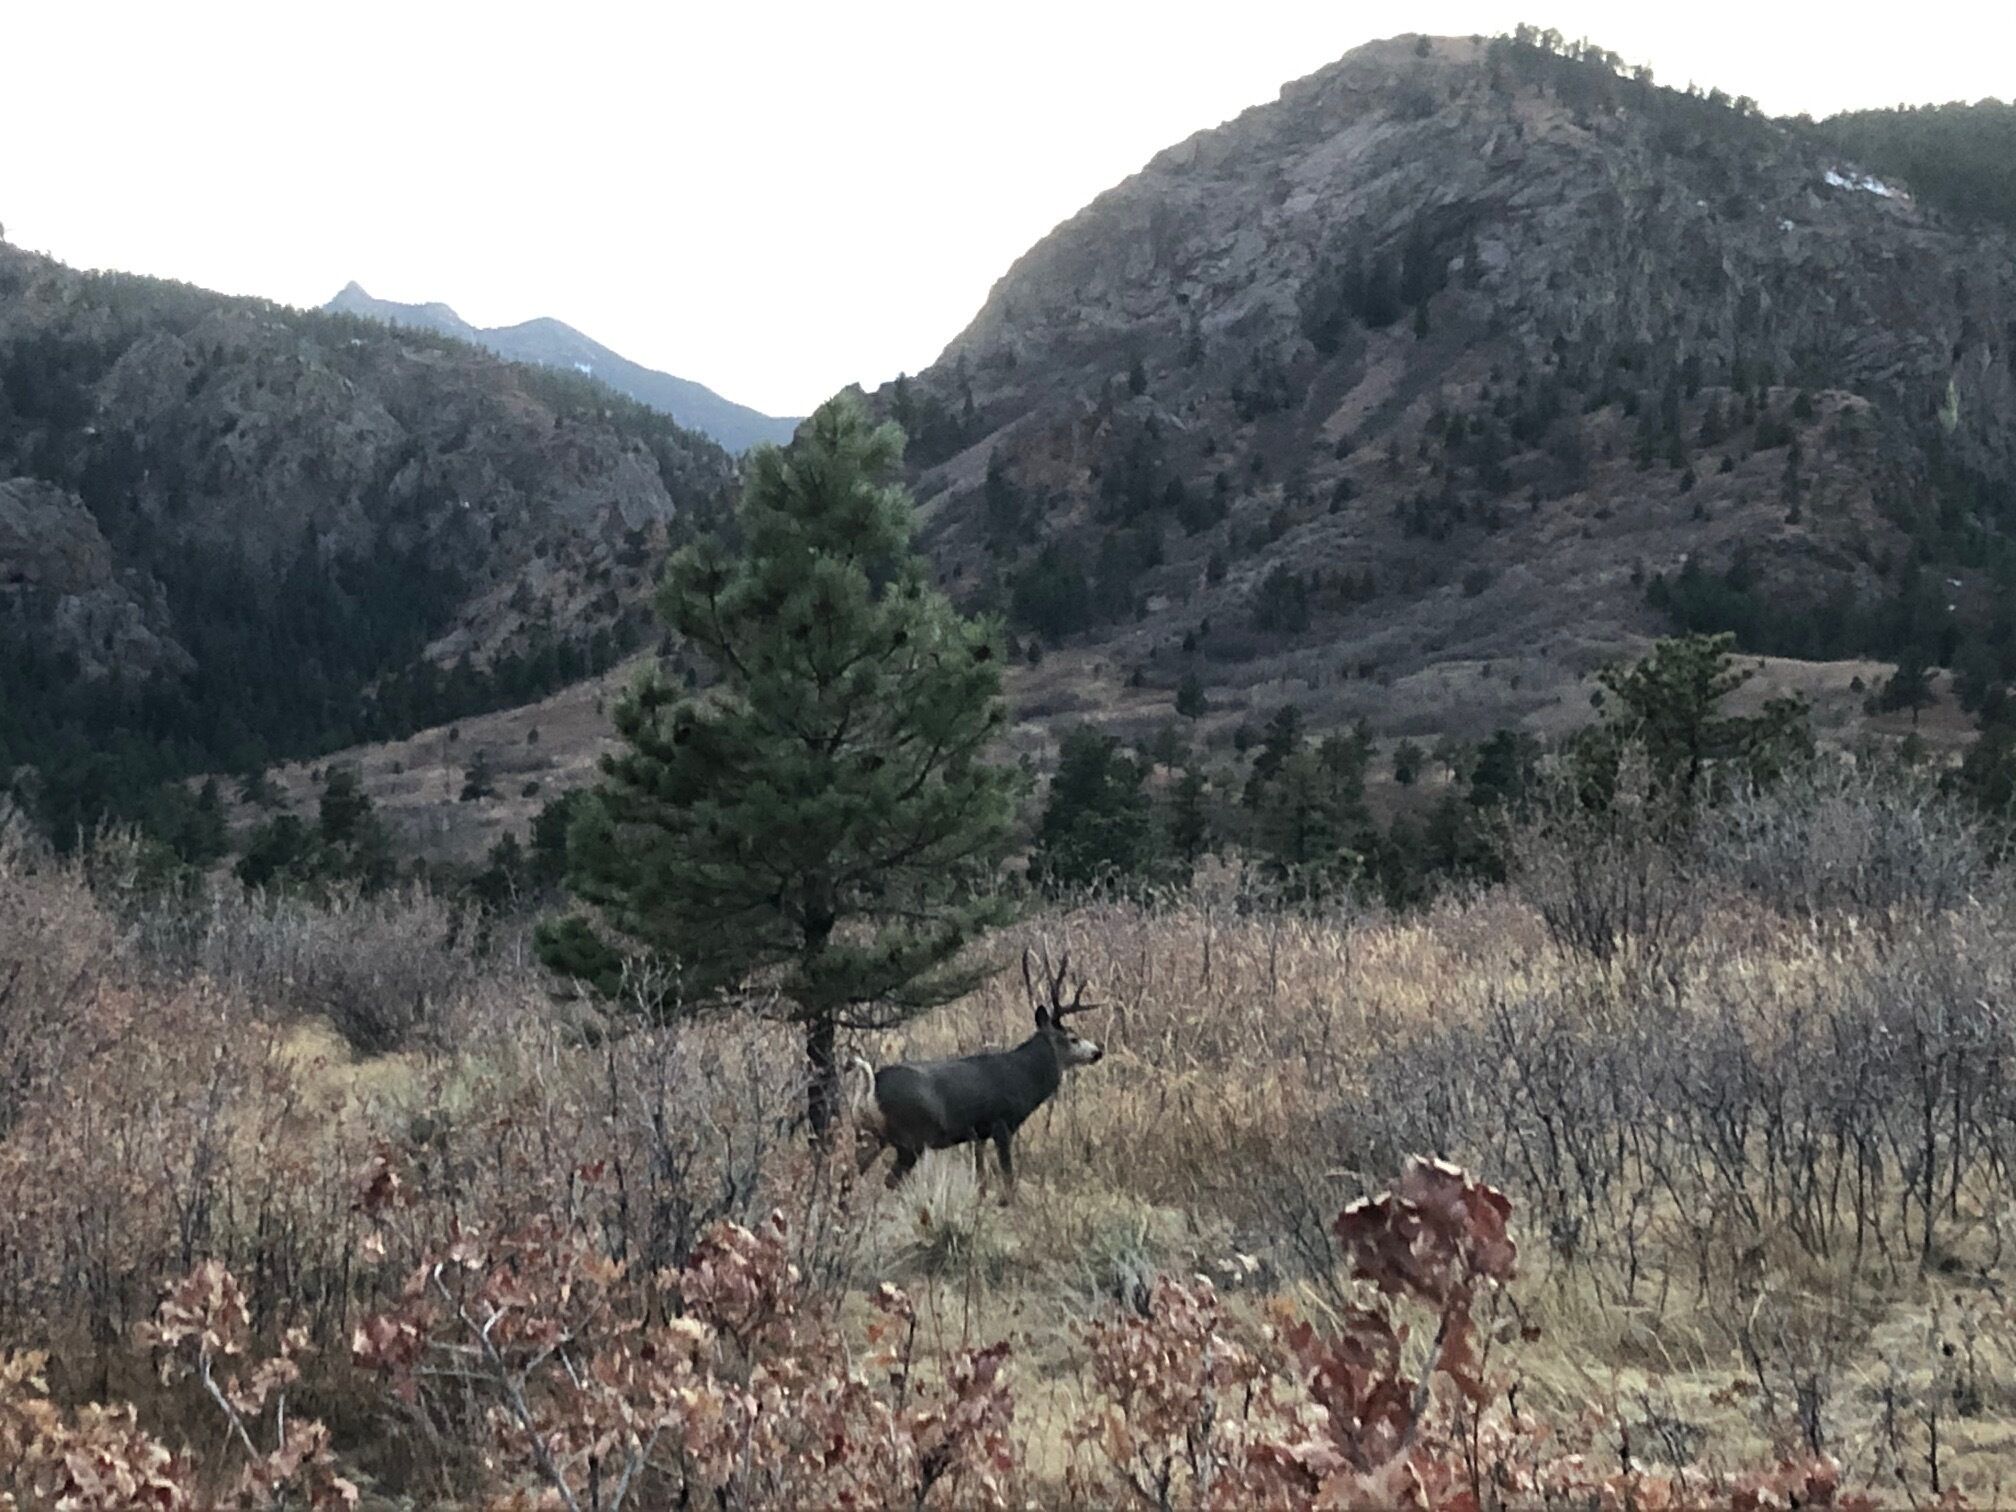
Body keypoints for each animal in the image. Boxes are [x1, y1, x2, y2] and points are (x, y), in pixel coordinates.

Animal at [851, 947, 1105, 1202]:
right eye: (1073, 1037)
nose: (1097, 1052)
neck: (1024, 1076)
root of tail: (872, 1087)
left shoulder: (977, 1133)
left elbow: (981, 1175)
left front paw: (980, 1201)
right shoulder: (1000, 1122)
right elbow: (1007, 1174)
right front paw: (1009, 1202)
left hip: (871, 1136)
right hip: (911, 1137)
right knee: (890, 1180)